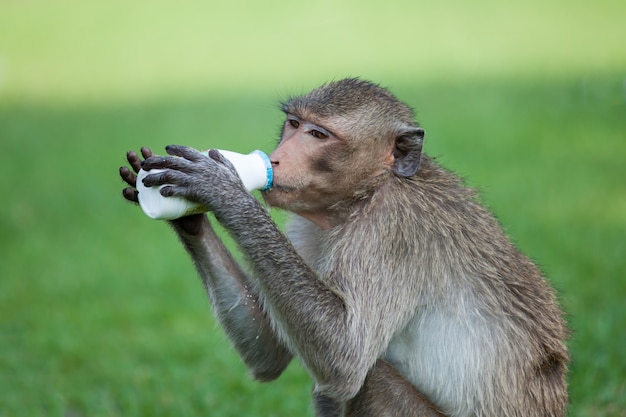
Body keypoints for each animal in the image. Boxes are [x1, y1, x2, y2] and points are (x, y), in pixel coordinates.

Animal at [119, 79, 568, 416]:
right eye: (293, 124)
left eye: (318, 135)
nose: (275, 160)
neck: (363, 195)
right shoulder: (306, 225)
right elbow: (272, 352)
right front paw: (186, 215)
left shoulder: (392, 228)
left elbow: (345, 358)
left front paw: (222, 188)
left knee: (368, 380)